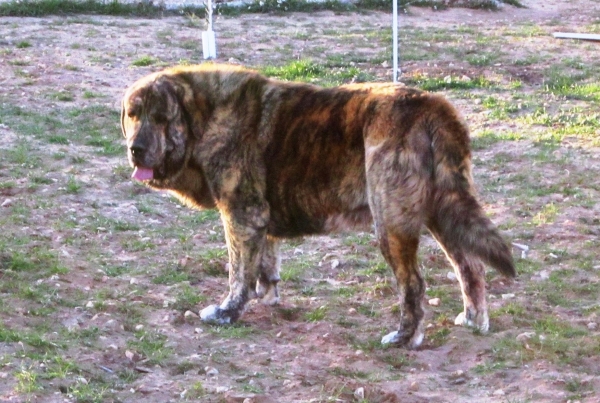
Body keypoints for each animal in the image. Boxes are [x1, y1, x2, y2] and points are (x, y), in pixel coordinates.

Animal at [122, 64, 516, 348]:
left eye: (161, 119)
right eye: (133, 115)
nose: (135, 149)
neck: (206, 118)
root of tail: (432, 106)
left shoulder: (240, 216)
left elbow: (237, 273)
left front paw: (227, 312)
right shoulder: (258, 220)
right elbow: (264, 264)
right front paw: (266, 295)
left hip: (390, 225)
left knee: (414, 286)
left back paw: (405, 338)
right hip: (443, 212)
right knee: (470, 267)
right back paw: (473, 320)